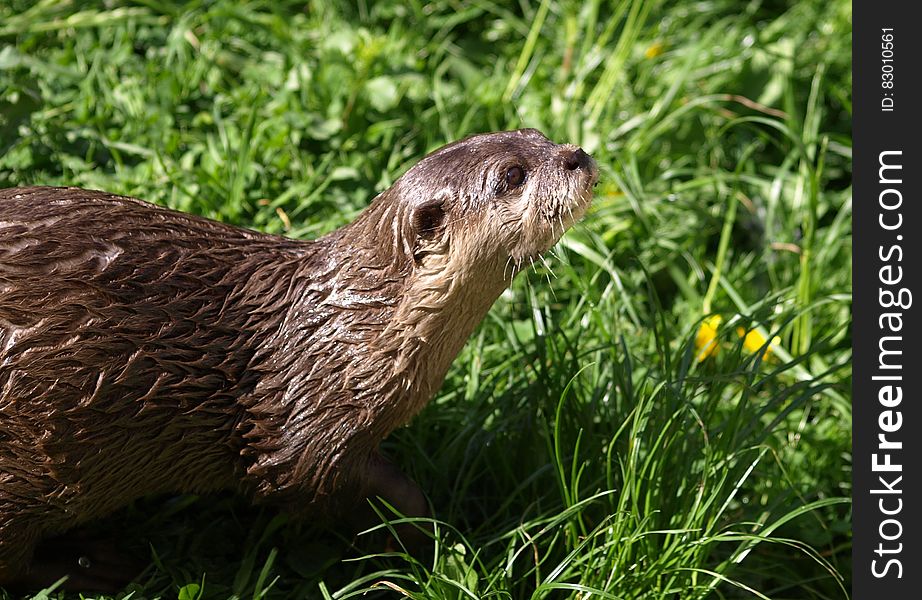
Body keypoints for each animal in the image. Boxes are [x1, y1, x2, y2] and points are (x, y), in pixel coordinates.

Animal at [0, 129, 596, 588]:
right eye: (513, 175)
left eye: (537, 135)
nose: (578, 155)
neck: (348, 330)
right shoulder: (305, 425)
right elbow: (317, 479)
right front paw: (425, 536)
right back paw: (89, 566)